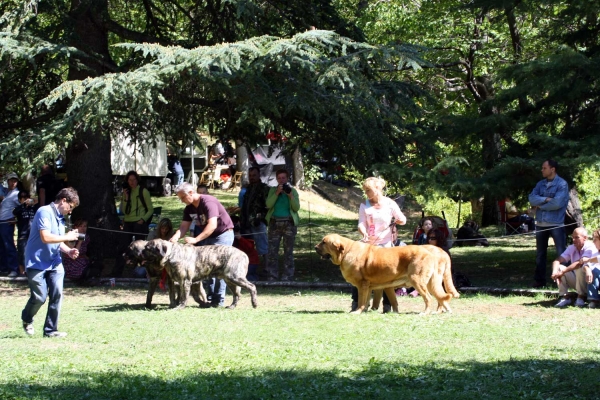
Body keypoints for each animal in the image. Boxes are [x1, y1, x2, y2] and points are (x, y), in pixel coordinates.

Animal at [314, 233, 460, 314]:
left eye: (324, 242)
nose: (315, 247)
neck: (346, 252)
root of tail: (436, 252)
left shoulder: (362, 285)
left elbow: (361, 301)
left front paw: (357, 312)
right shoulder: (370, 287)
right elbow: (371, 301)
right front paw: (365, 311)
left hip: (418, 281)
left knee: (429, 298)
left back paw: (426, 313)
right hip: (431, 283)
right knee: (441, 297)